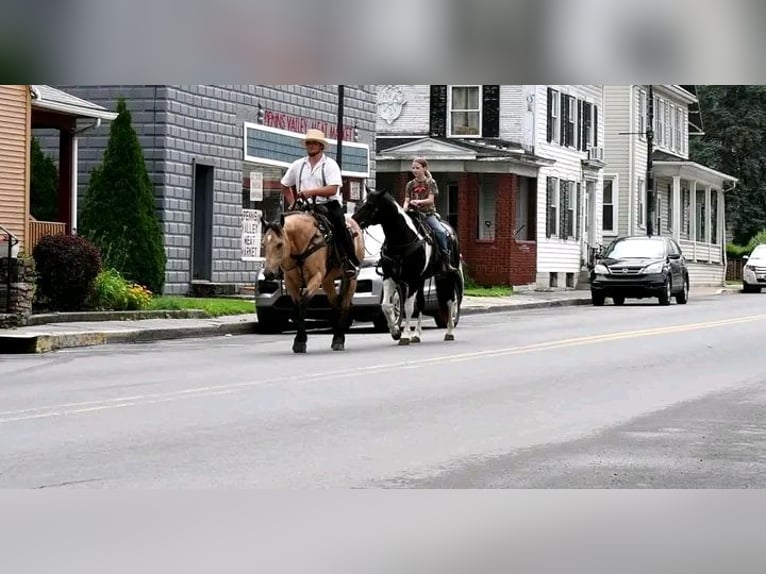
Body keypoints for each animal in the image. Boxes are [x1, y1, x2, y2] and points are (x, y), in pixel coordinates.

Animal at [260, 202, 366, 356]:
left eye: (279, 244)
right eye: (263, 244)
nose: (268, 273)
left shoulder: (315, 278)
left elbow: (303, 303)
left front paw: (300, 341)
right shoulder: (290, 281)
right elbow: (296, 306)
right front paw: (299, 339)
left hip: (350, 279)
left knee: (345, 304)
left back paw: (339, 338)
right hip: (328, 281)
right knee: (336, 303)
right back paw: (336, 336)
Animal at [352, 187, 460, 344]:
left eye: (370, 205)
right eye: (361, 203)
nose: (353, 222)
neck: (401, 239)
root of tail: (451, 231)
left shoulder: (413, 279)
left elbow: (408, 307)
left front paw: (404, 335)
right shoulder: (390, 276)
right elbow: (386, 305)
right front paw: (395, 332)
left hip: (447, 276)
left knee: (451, 301)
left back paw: (449, 332)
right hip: (424, 279)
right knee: (422, 304)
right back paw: (417, 335)